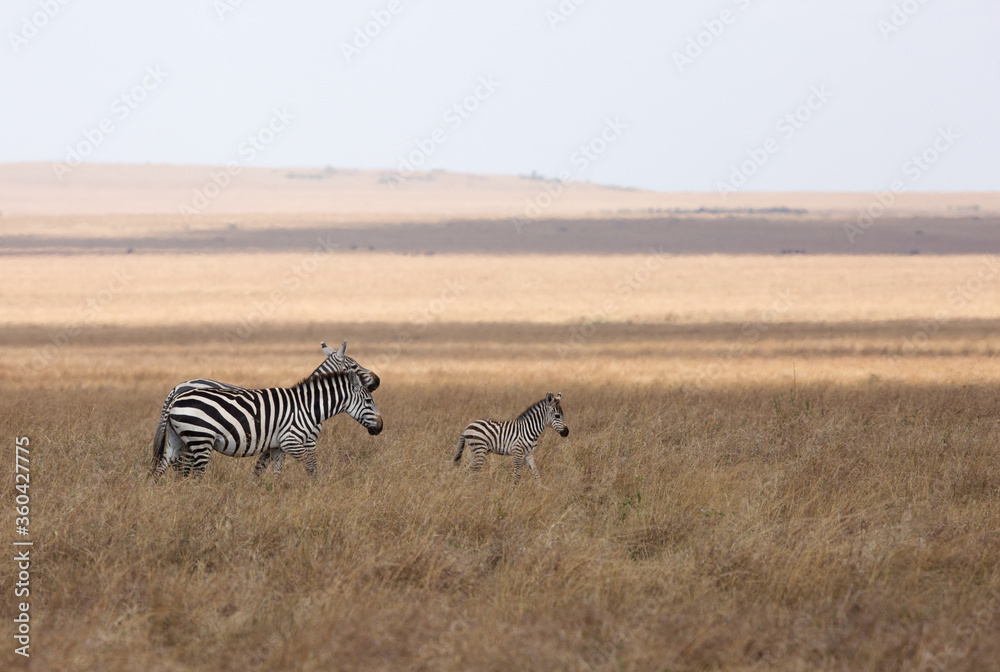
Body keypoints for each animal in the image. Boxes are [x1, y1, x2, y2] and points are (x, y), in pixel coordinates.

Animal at [152, 340, 379, 475]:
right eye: (354, 365)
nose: (377, 381)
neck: (308, 402)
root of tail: (176, 390)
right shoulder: (305, 441)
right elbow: (308, 467)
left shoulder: (274, 442)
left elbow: (263, 469)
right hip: (197, 436)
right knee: (184, 466)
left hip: (181, 438)